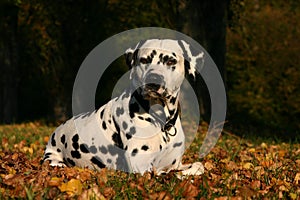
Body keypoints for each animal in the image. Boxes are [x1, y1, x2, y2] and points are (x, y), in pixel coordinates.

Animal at [42, 39, 205, 177]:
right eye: (144, 60)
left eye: (171, 61)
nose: (153, 81)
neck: (161, 121)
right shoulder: (142, 167)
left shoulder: (174, 164)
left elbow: (198, 165)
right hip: (53, 160)